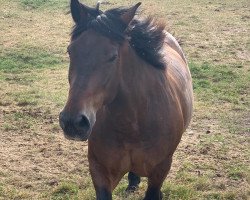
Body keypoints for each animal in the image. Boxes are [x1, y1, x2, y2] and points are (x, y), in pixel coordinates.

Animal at [58, 0, 193, 199]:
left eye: (113, 56)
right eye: (70, 51)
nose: (73, 122)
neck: (132, 125)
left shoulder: (159, 172)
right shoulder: (100, 172)